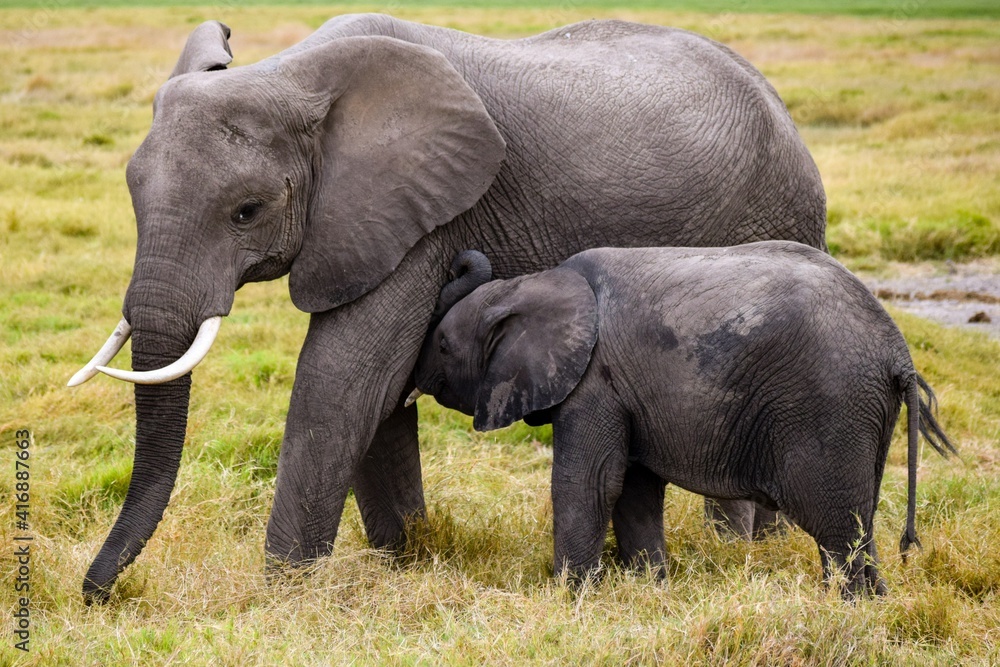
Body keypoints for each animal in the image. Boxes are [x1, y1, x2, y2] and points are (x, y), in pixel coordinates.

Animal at [68, 14, 828, 603]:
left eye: (246, 212)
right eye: (131, 189)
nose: (97, 593)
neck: (295, 77)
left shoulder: (424, 219)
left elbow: (345, 380)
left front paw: (283, 594)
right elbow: (379, 393)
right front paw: (405, 560)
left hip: (772, 214)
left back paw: (744, 552)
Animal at [410, 244, 955, 595]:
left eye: (444, 346)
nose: (458, 257)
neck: (532, 284)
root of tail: (898, 353)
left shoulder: (595, 381)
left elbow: (589, 482)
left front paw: (570, 597)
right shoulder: (624, 390)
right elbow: (634, 488)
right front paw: (650, 591)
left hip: (830, 407)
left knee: (837, 527)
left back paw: (847, 609)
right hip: (862, 414)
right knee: (858, 520)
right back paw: (871, 605)